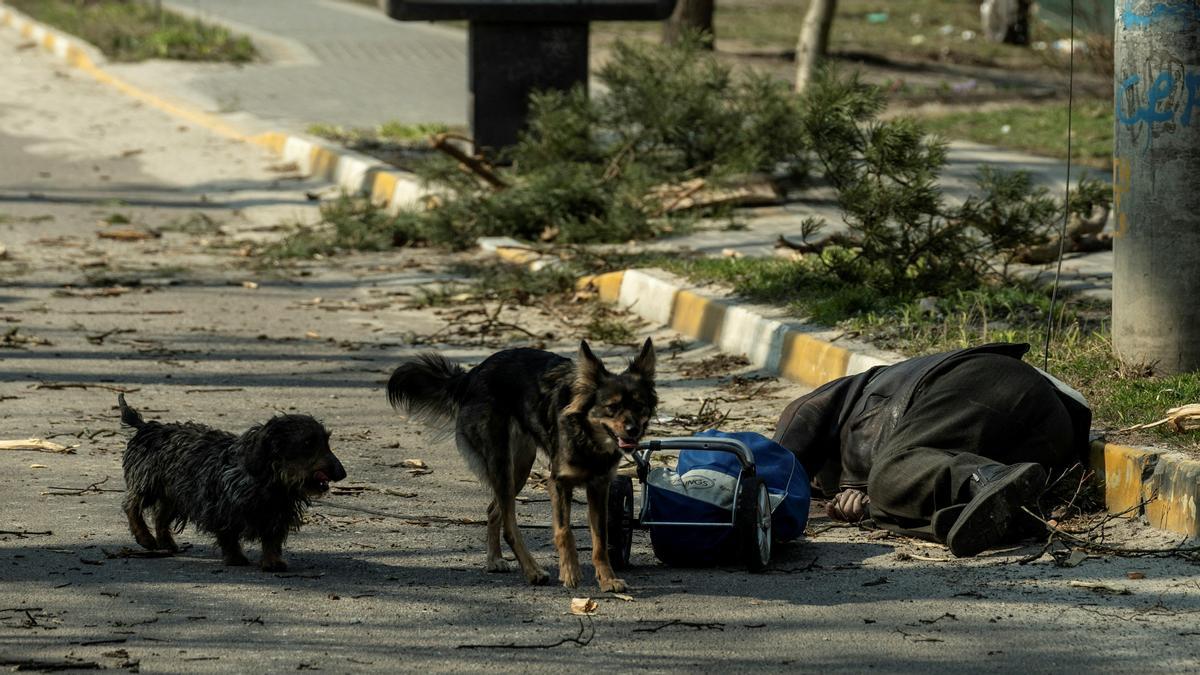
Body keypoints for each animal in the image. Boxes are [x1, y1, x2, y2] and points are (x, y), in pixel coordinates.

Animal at [117, 391, 345, 569]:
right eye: (308, 443)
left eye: (326, 441)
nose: (341, 473)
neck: (272, 484)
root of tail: (147, 427)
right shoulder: (221, 509)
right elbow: (229, 536)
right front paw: (236, 557)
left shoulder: (277, 516)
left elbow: (272, 539)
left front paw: (272, 561)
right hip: (148, 484)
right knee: (131, 505)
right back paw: (144, 537)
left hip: (173, 494)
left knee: (160, 517)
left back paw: (166, 542)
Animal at [388, 338, 657, 586]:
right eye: (612, 407)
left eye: (639, 406)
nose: (633, 430)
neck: (586, 436)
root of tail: (472, 374)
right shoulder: (558, 483)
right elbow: (564, 531)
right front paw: (570, 572)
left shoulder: (600, 487)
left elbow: (601, 539)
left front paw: (608, 579)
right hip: (502, 463)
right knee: (509, 524)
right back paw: (532, 570)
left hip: (520, 466)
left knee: (494, 510)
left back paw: (495, 560)